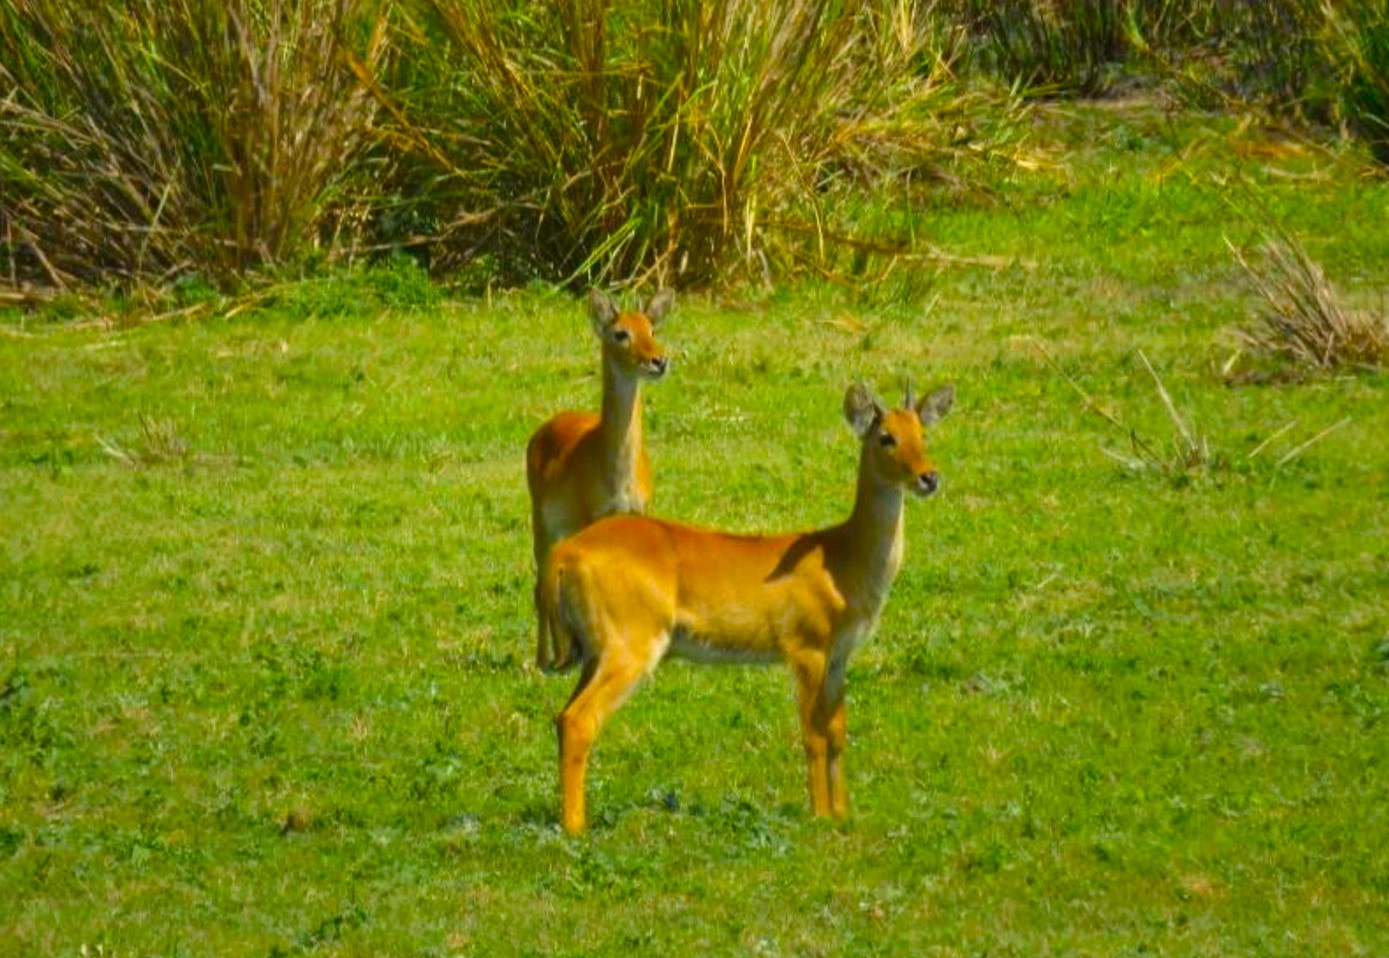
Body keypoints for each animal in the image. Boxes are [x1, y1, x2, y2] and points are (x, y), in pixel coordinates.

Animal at [525, 287, 672, 669]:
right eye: (620, 333)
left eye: (652, 329)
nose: (659, 361)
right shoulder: (590, 518)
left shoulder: (639, 513)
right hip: (543, 525)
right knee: (541, 585)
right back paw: (543, 660)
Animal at [538, 380, 955, 827]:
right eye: (885, 437)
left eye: (922, 433)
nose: (929, 477)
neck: (842, 559)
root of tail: (565, 553)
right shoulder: (805, 650)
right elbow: (813, 734)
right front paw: (820, 816)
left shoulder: (838, 656)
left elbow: (838, 732)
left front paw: (842, 813)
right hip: (629, 647)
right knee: (580, 720)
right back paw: (576, 827)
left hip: (594, 653)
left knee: (563, 717)